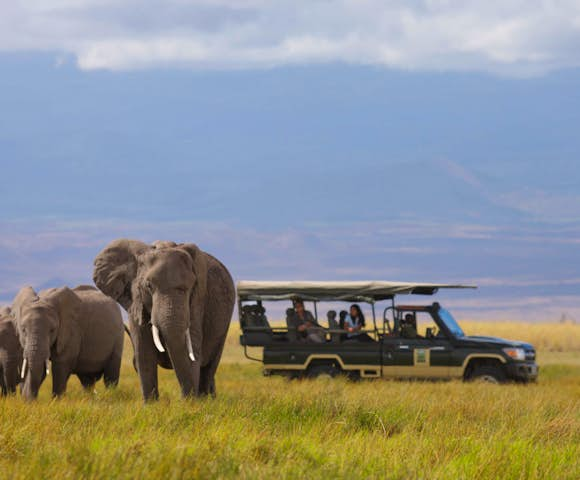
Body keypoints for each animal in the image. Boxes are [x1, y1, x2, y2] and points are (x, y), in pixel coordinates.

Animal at [92, 240, 234, 402]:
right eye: (148, 286)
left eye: (191, 287)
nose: (186, 400)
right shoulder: (136, 301)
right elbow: (144, 351)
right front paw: (151, 405)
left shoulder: (198, 300)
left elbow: (192, 347)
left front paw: (190, 404)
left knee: (209, 367)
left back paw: (206, 400)